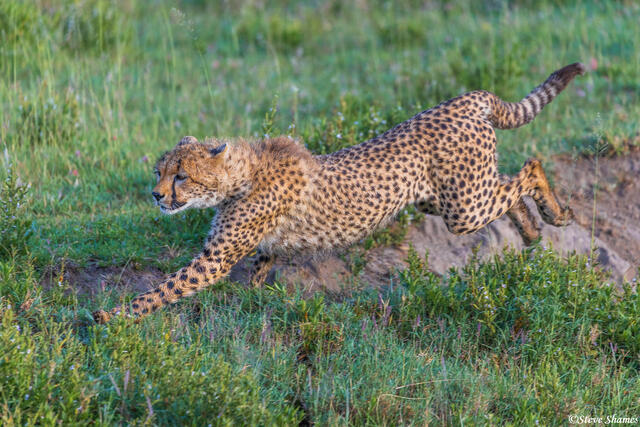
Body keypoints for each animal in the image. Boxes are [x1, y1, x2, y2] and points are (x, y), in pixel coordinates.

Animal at [94, 62, 585, 323]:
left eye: (181, 177)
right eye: (160, 171)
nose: (157, 196)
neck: (241, 174)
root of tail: (461, 99)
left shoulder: (214, 259)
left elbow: (166, 288)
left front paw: (111, 316)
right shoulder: (261, 245)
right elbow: (258, 269)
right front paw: (254, 298)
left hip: (462, 208)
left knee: (529, 169)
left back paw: (554, 214)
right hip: (445, 198)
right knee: (507, 189)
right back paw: (532, 231)